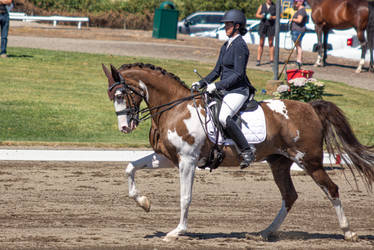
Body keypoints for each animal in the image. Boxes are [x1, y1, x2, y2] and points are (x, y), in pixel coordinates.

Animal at [101, 62, 374, 242]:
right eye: (111, 96)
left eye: (121, 94)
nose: (125, 127)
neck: (176, 108)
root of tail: (311, 108)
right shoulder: (169, 158)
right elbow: (130, 167)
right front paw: (143, 203)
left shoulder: (187, 161)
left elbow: (185, 197)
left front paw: (177, 231)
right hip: (279, 162)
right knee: (290, 195)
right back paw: (265, 232)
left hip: (309, 161)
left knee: (331, 189)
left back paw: (349, 232)